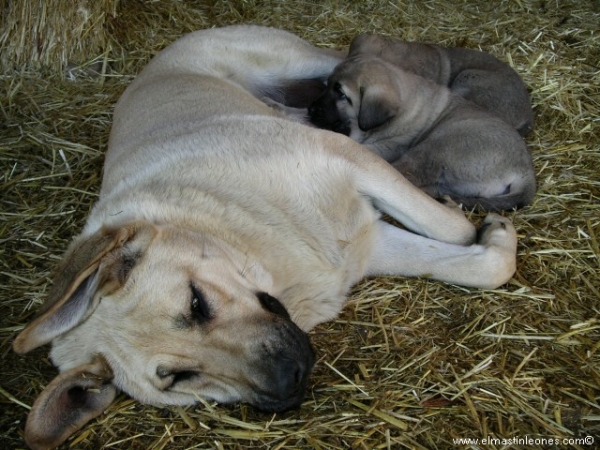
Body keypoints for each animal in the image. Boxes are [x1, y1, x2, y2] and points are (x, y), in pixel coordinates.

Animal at [308, 54, 536, 211]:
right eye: (328, 85)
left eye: (341, 94)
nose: (310, 109)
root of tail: (526, 172)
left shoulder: (390, 145)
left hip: (440, 144)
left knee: (402, 174)